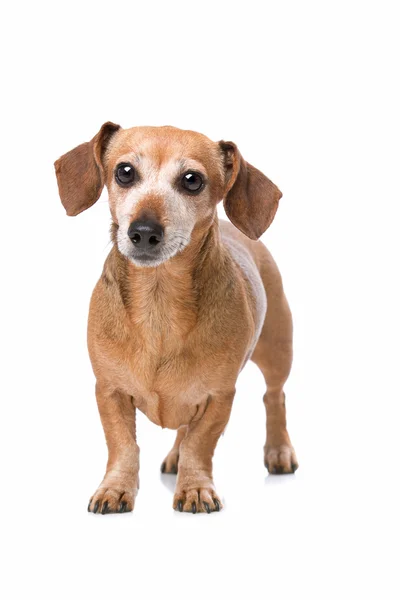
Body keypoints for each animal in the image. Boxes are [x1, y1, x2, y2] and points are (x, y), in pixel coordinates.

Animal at [54, 123, 296, 516]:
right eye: (124, 172)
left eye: (192, 180)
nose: (143, 231)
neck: (159, 305)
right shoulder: (109, 391)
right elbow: (123, 445)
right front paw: (115, 488)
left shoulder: (218, 396)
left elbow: (200, 444)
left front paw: (195, 488)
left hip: (277, 351)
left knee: (274, 397)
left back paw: (278, 450)